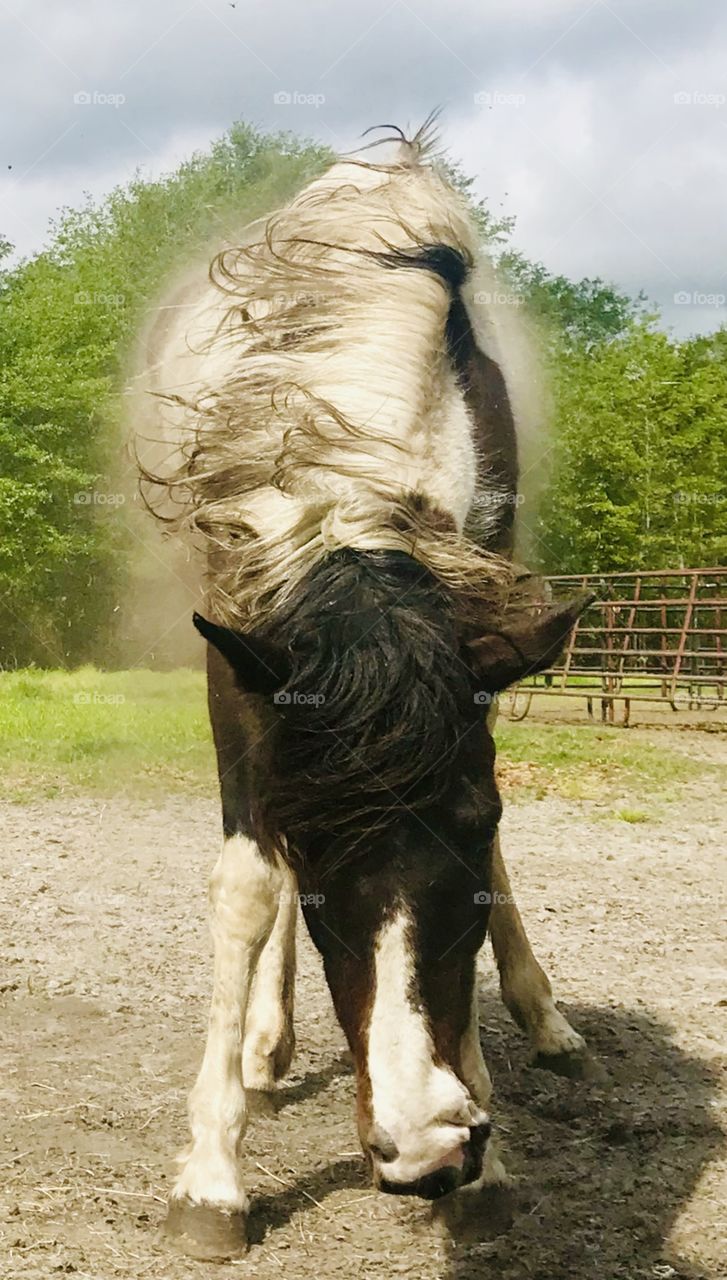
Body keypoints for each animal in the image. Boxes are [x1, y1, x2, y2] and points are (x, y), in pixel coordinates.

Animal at [135, 124, 594, 1261]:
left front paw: (490, 1155)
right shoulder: (240, 659)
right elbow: (248, 886)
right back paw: (264, 1045)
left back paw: (543, 1016)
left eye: (478, 821)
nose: (426, 1146)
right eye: (315, 855)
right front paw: (213, 1176)